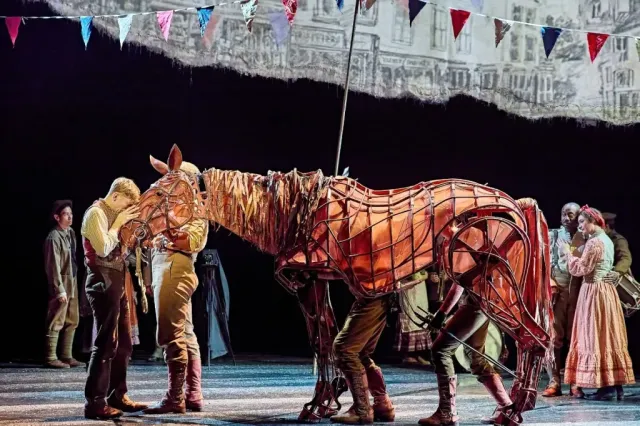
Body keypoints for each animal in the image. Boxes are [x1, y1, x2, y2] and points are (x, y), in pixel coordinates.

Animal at [120, 144, 553, 426]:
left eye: (162, 192)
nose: (126, 232)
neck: (292, 213)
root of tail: (515, 203)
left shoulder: (306, 280)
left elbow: (322, 343)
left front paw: (319, 405)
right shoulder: (321, 281)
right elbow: (331, 341)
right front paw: (336, 402)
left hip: (492, 282)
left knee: (535, 339)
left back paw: (515, 410)